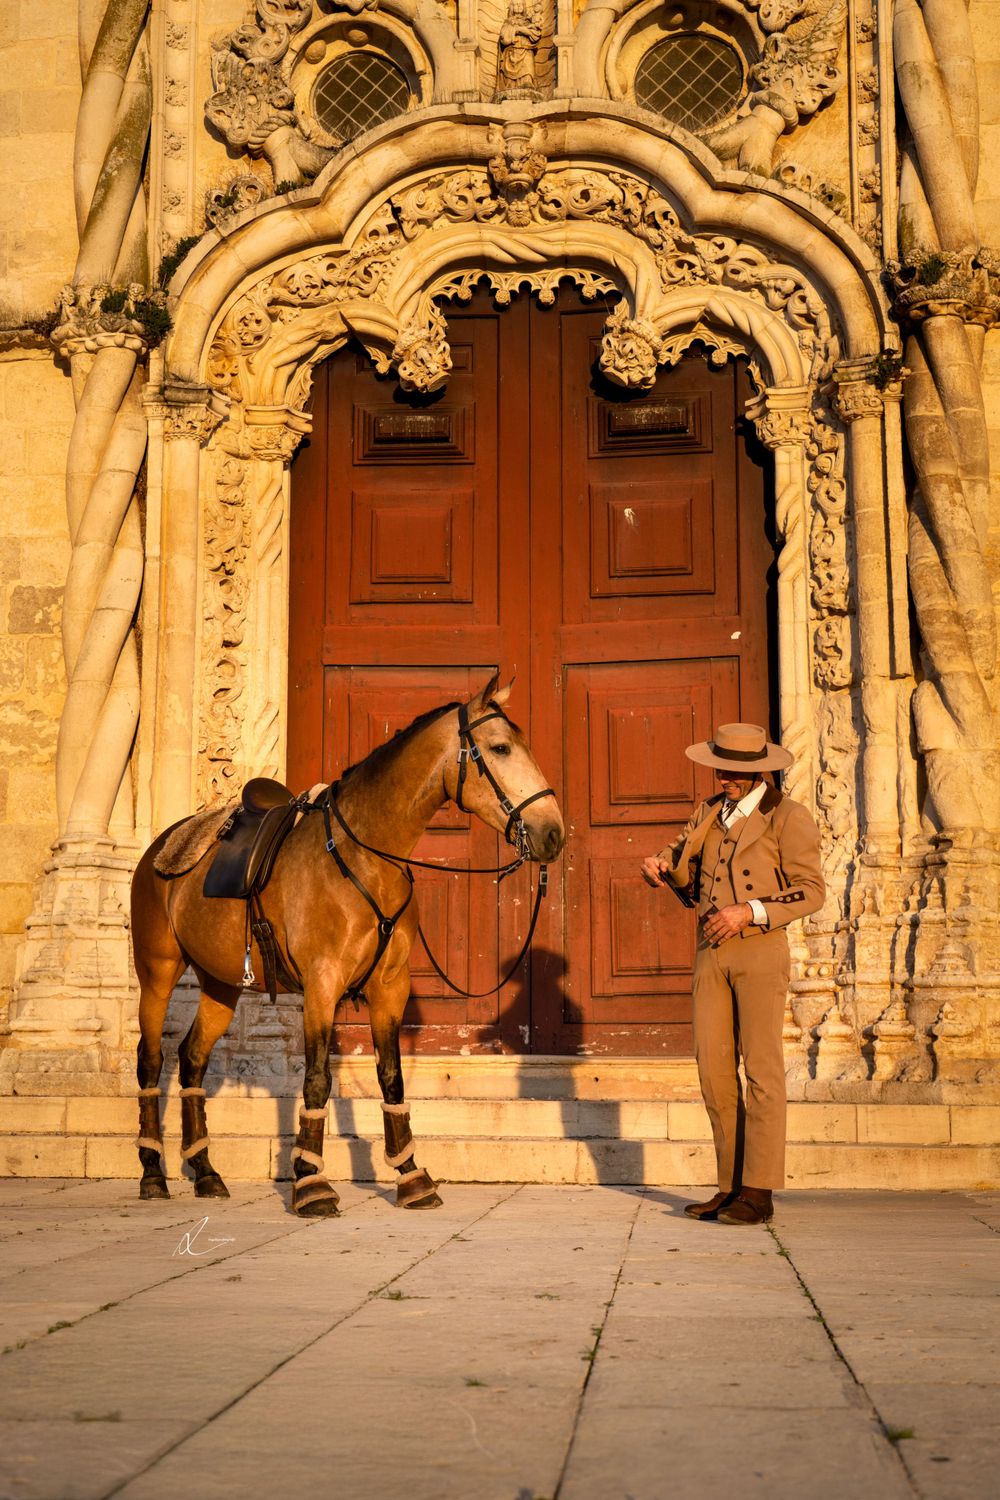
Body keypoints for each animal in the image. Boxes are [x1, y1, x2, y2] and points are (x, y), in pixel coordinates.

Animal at [130, 673, 565, 1216]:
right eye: (501, 747)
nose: (553, 832)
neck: (365, 857)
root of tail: (161, 844)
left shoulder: (389, 988)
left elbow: (391, 1076)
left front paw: (412, 1176)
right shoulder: (322, 985)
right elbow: (317, 1078)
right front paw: (311, 1183)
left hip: (220, 983)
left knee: (191, 1059)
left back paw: (207, 1172)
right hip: (158, 971)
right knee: (151, 1059)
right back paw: (152, 1173)